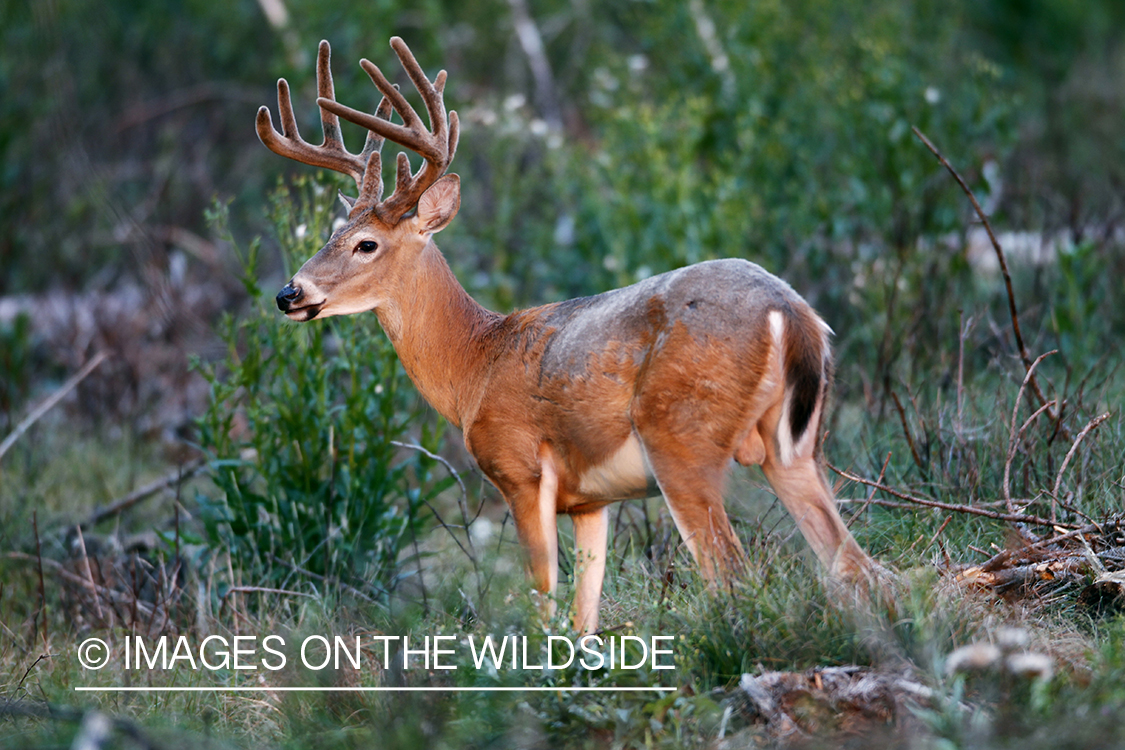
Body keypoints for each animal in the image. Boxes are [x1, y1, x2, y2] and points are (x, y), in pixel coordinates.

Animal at [258, 36, 873, 634]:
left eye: (366, 244)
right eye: (331, 233)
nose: (289, 293)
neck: (476, 364)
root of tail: (791, 311)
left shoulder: (521, 470)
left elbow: (542, 606)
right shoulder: (590, 502)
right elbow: (583, 619)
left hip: (682, 437)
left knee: (733, 574)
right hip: (795, 448)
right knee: (859, 567)